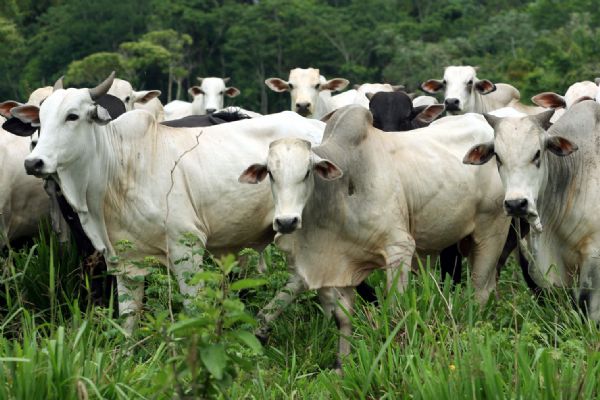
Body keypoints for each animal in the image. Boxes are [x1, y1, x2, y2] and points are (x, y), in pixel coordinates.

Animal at [14, 72, 324, 332]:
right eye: (39, 118)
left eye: (73, 116)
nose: (33, 162)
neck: (119, 165)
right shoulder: (125, 262)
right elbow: (128, 322)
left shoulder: (186, 246)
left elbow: (194, 309)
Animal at [239, 104, 510, 370]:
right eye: (270, 174)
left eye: (307, 172)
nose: (286, 221)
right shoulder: (343, 261)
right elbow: (342, 317)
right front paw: (342, 364)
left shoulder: (399, 249)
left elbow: (396, 309)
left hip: (491, 230)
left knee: (479, 290)